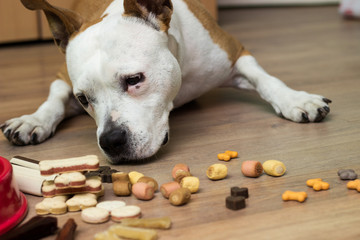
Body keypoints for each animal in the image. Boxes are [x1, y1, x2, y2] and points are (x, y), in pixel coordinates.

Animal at [0, 0, 332, 164]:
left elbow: (265, 78)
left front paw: (295, 99)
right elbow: (55, 98)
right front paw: (34, 120)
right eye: (83, 99)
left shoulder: (235, 51)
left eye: (135, 79)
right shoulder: (63, 76)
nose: (111, 141)